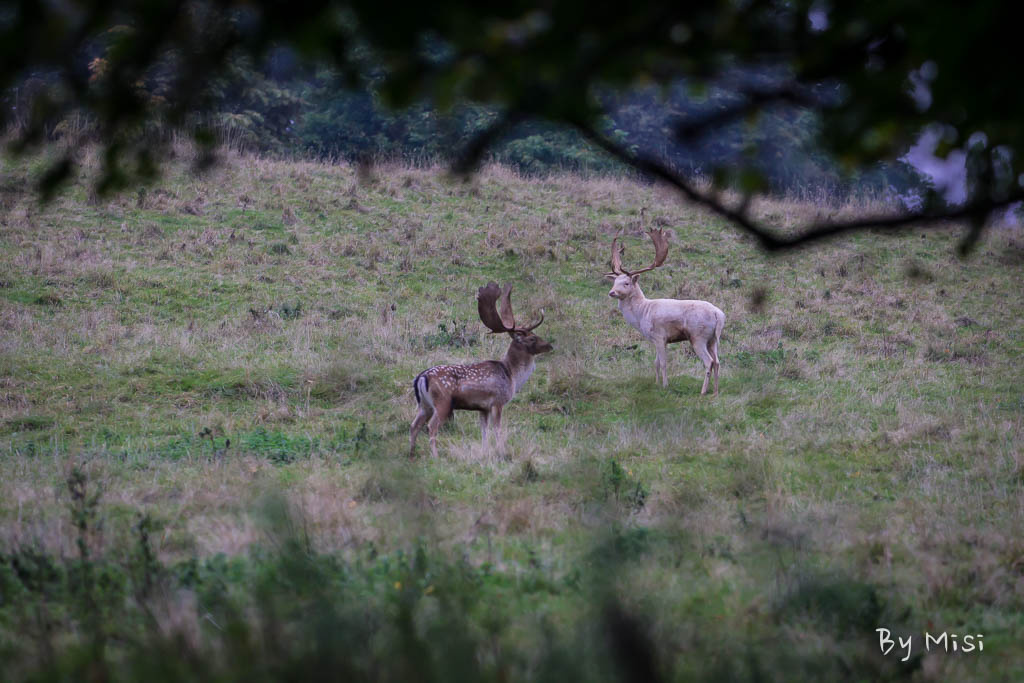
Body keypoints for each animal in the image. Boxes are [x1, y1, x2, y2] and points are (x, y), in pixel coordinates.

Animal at [407, 282, 552, 458]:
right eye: (532, 338)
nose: (550, 345)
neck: (511, 375)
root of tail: (421, 378)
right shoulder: (498, 401)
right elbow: (497, 429)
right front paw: (501, 452)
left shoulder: (483, 407)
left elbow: (484, 430)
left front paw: (485, 451)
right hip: (442, 402)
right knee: (431, 426)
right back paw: (435, 456)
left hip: (424, 405)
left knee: (414, 425)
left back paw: (412, 453)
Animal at [606, 223, 729, 393]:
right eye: (614, 281)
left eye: (626, 283)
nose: (612, 292)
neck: (642, 313)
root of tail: (719, 315)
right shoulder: (658, 340)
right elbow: (656, 363)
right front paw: (656, 384)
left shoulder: (659, 336)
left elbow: (663, 363)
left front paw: (665, 386)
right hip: (713, 339)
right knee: (717, 361)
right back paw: (715, 391)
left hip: (698, 336)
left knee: (709, 361)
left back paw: (703, 391)